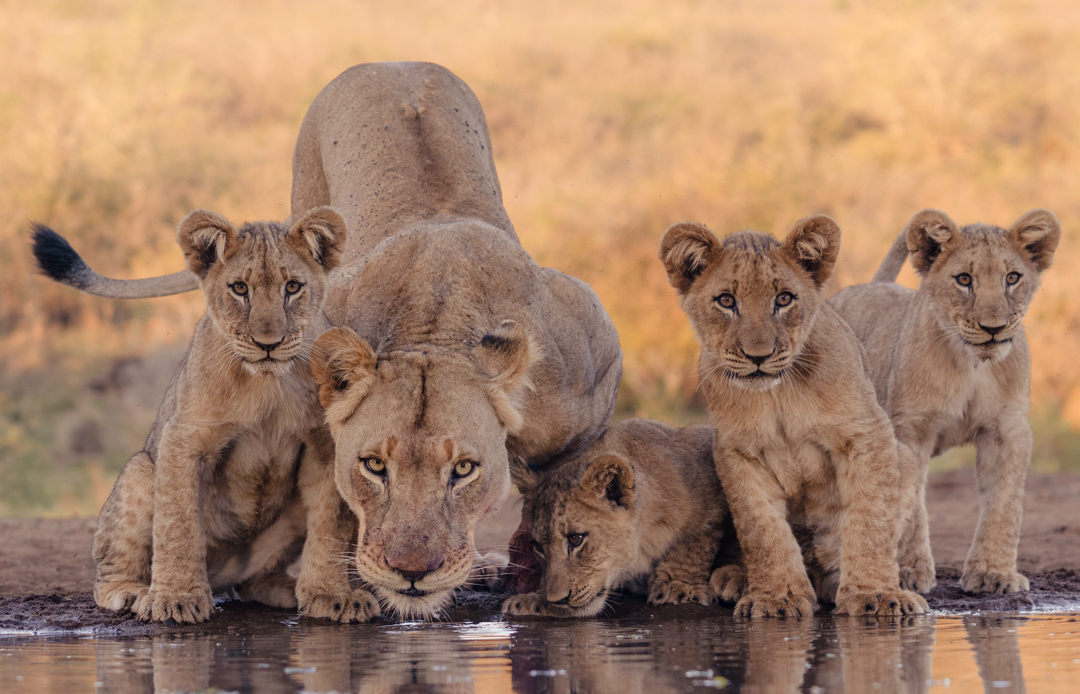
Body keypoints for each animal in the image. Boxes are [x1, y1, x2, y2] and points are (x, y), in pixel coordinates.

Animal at [33, 207, 377, 624]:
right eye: (240, 289)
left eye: (293, 287)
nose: (268, 343)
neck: (266, 383)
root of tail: (221, 576)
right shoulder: (183, 438)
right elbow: (178, 524)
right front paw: (176, 597)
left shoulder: (324, 445)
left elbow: (330, 523)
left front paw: (332, 595)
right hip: (141, 469)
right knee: (110, 571)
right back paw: (132, 592)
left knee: (250, 583)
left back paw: (285, 589)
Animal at [499, 419, 746, 618]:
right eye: (538, 547)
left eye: (575, 539)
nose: (557, 599)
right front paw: (534, 601)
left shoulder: (710, 480)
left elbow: (694, 545)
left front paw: (678, 586)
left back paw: (731, 579)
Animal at [659, 215, 928, 617]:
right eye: (727, 301)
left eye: (783, 299)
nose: (758, 355)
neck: (778, 394)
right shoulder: (736, 452)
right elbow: (761, 530)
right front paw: (777, 597)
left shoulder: (868, 433)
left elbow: (871, 520)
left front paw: (876, 594)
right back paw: (735, 579)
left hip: (906, 458)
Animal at [829, 208, 1061, 594]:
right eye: (964, 279)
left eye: (1012, 278)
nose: (993, 328)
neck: (972, 366)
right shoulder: (909, 430)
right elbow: (909, 505)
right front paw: (907, 571)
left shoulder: (1008, 429)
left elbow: (1005, 503)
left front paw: (994, 574)